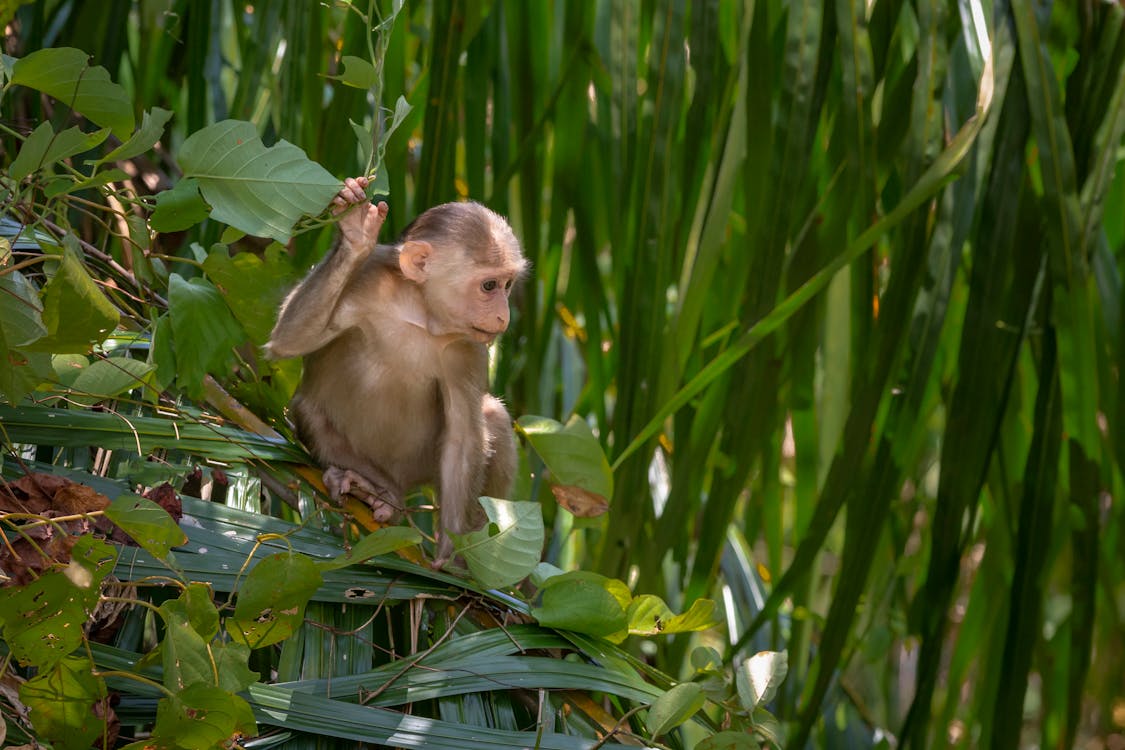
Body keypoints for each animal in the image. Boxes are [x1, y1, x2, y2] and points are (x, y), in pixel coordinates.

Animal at [265, 177, 524, 562]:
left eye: (507, 285)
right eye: (489, 286)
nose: (503, 317)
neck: (420, 312)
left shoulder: (467, 348)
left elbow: (463, 438)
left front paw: (450, 557)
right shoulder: (369, 279)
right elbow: (290, 340)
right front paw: (355, 233)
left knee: (492, 417)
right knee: (308, 410)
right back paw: (371, 488)